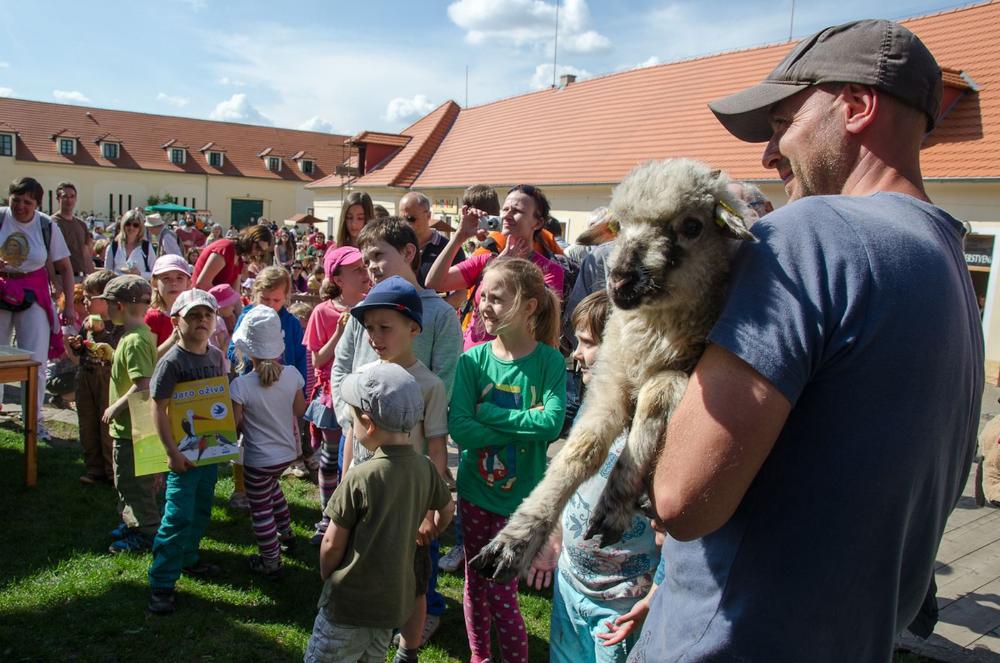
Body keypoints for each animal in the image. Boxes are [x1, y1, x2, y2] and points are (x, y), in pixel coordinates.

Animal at [472, 158, 752, 584]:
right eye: (619, 225)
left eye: (692, 225)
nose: (619, 278)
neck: (652, 335)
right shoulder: (609, 380)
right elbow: (582, 449)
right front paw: (516, 540)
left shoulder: (684, 374)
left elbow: (654, 398)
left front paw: (615, 503)